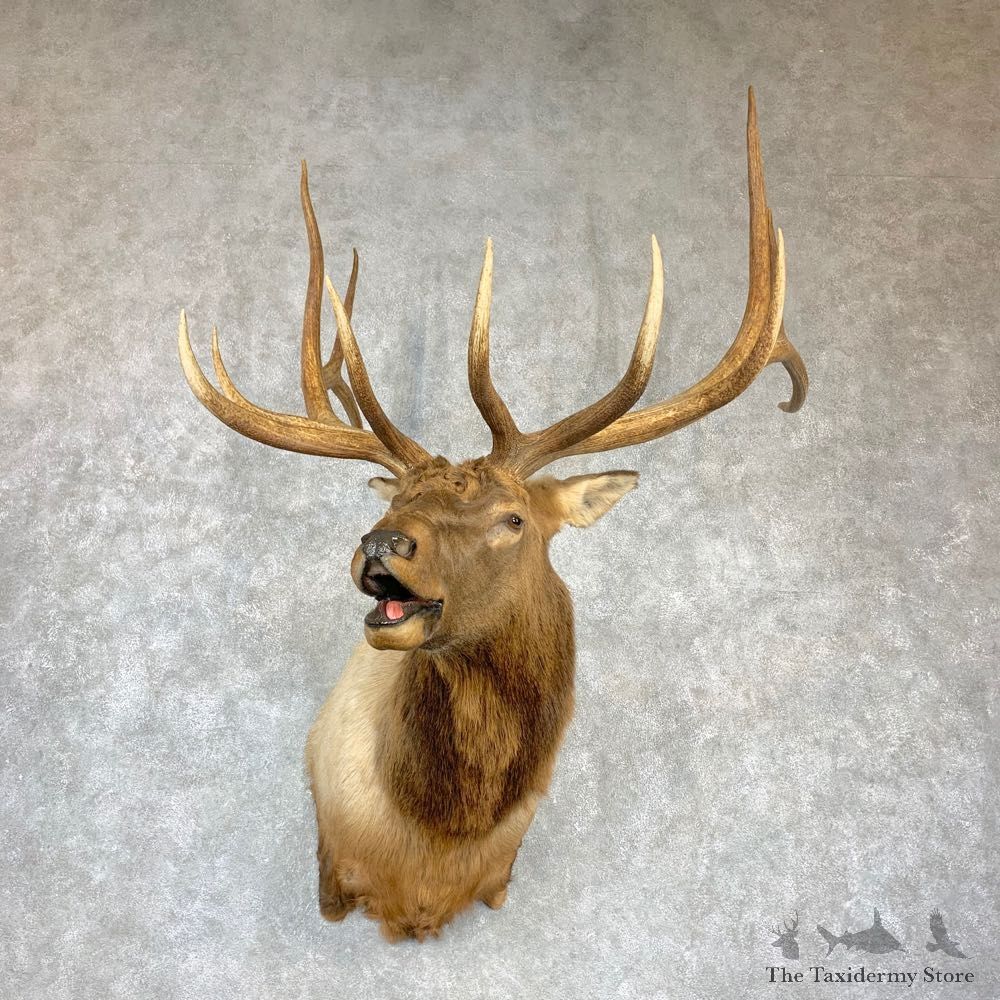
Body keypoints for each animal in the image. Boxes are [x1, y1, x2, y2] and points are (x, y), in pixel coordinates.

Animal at [178, 88, 807, 942]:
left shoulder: (499, 873)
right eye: (399, 499)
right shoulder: (335, 865)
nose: (380, 542)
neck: (439, 844)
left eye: (513, 519)